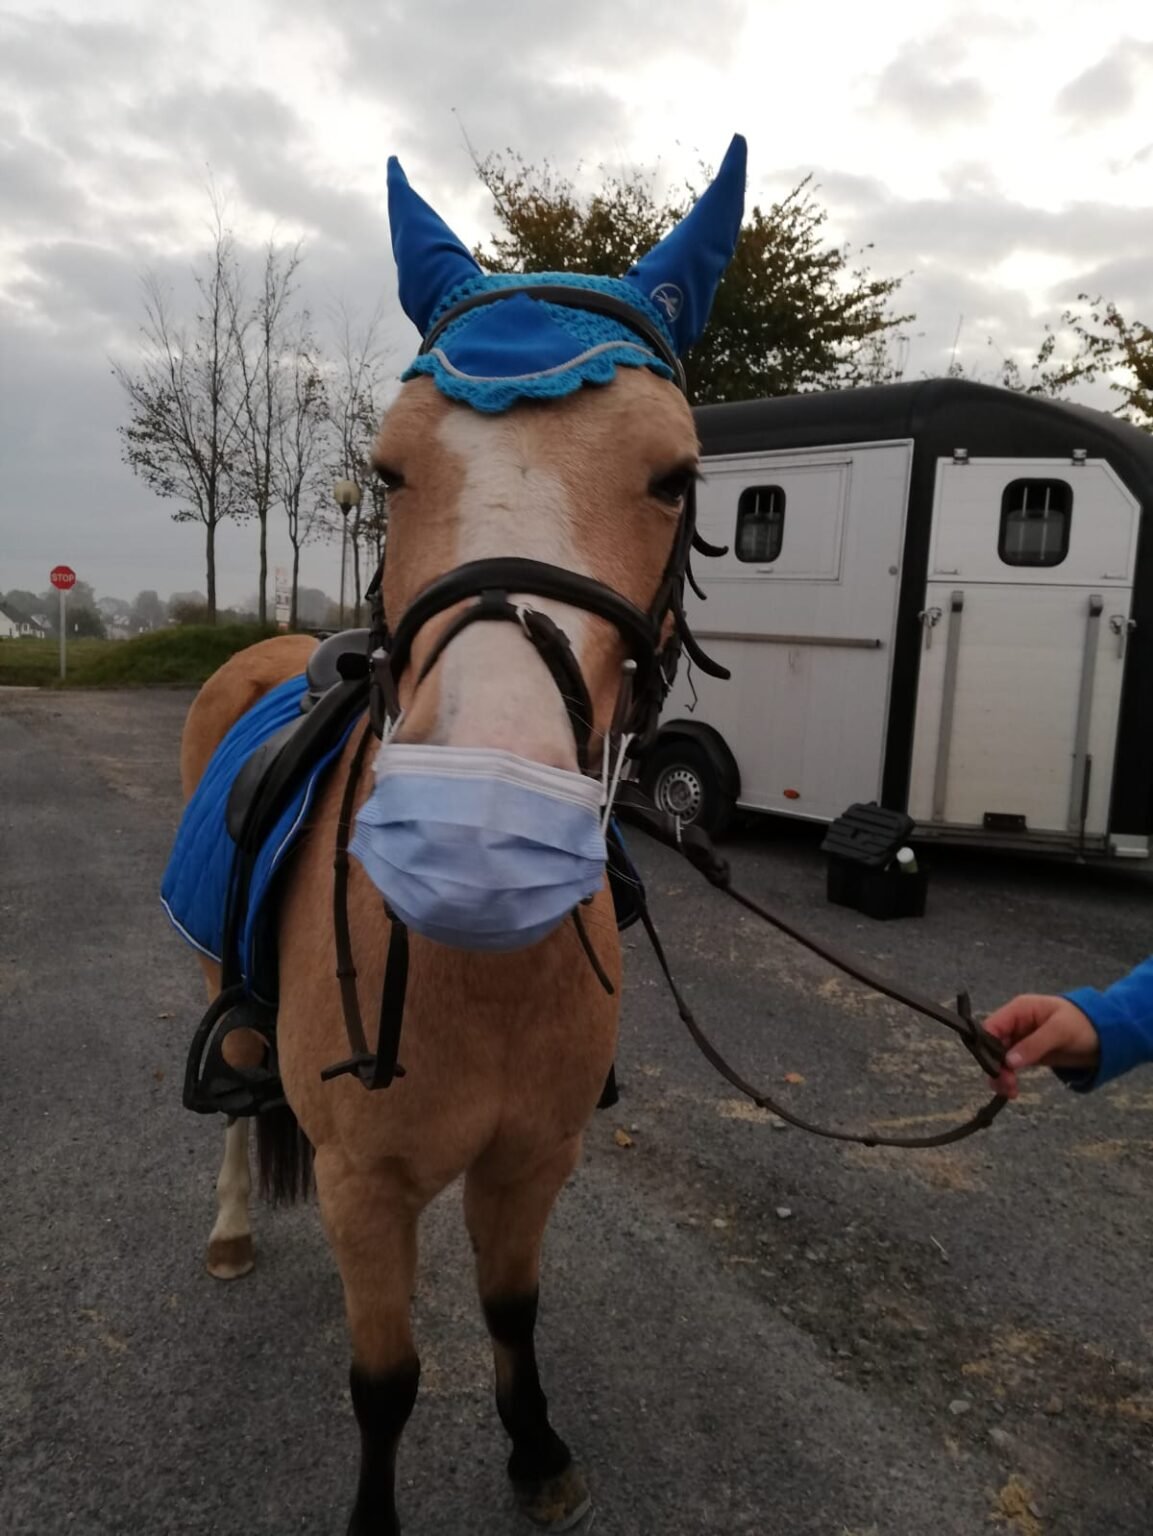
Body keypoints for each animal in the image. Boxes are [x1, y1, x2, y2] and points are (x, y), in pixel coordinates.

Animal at [172, 138, 749, 1529]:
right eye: (386, 471)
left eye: (676, 477)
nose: (475, 827)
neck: (479, 974)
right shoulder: (364, 1190)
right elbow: (385, 1382)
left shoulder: (531, 1161)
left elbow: (509, 1310)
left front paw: (534, 1450)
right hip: (218, 980)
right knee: (235, 1114)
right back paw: (229, 1227)